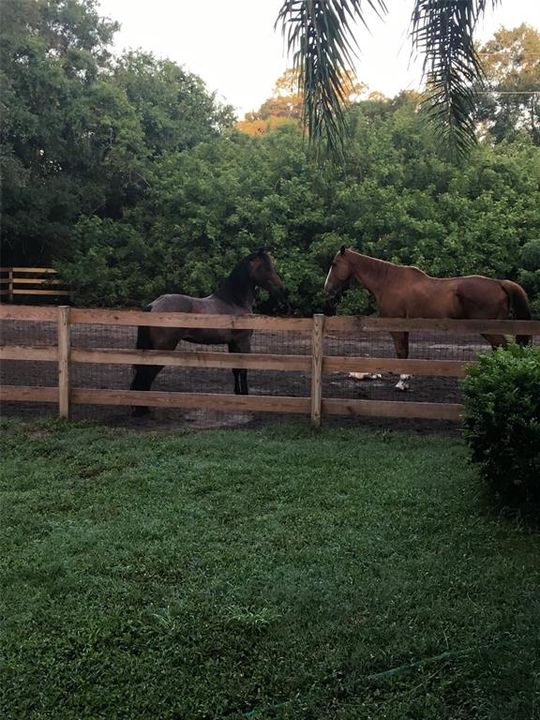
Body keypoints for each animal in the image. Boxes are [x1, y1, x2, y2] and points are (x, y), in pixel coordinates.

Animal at [131, 249, 288, 414]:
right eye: (266, 267)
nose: (283, 290)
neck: (233, 301)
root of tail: (153, 305)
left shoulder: (233, 343)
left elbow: (235, 369)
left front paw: (238, 394)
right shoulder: (243, 342)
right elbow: (243, 369)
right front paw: (245, 397)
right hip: (163, 350)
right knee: (147, 374)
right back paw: (143, 410)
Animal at [324, 249, 532, 394]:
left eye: (334, 264)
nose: (327, 289)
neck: (389, 281)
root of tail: (499, 283)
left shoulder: (396, 327)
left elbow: (400, 353)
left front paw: (402, 382)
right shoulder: (405, 327)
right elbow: (405, 353)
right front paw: (406, 381)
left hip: (491, 330)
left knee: (504, 349)